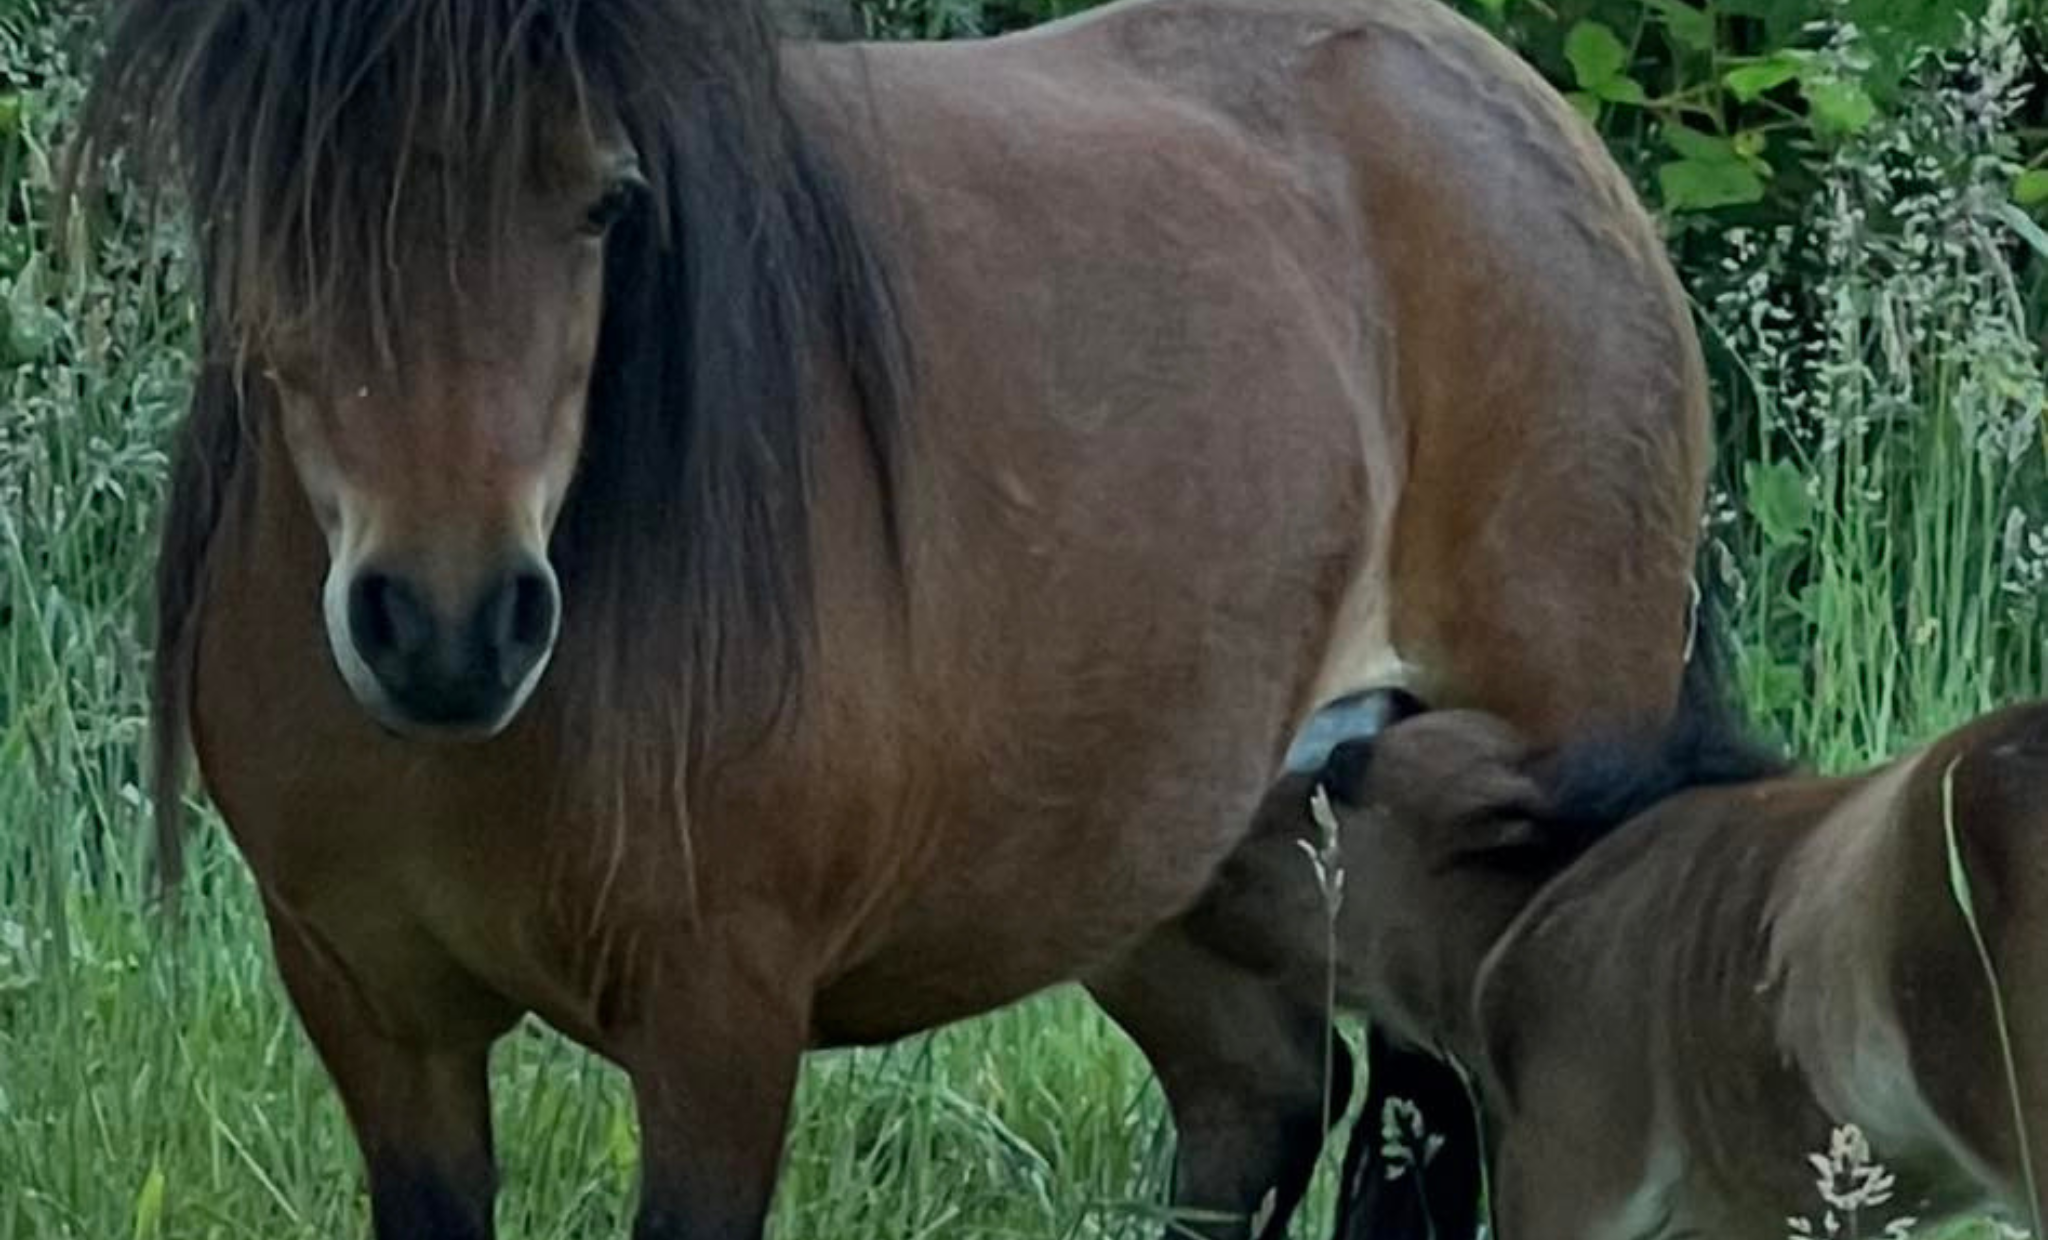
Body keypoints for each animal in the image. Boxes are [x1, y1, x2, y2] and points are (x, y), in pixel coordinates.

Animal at [70, 0, 1713, 1234]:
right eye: (276, 200)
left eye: (604, 202)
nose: (451, 625)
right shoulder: (379, 1018)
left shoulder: (720, 1020)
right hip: (1181, 865)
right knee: (1257, 1113)